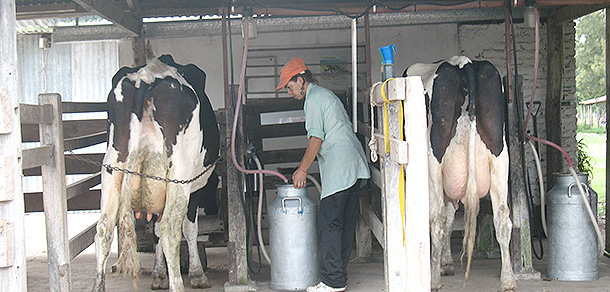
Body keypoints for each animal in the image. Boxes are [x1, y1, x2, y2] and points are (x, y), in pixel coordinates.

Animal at [92, 54, 218, 292]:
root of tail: (147, 76)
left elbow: (156, 231)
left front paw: (159, 274)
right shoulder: (195, 187)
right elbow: (188, 229)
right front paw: (196, 274)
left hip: (111, 167)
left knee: (104, 227)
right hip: (180, 173)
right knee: (170, 229)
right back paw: (178, 284)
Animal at [404, 56, 512, 290]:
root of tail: (465, 64)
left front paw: (440, 265)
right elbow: (453, 216)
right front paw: (446, 263)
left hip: (434, 161)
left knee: (438, 219)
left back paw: (433, 280)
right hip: (500, 157)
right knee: (502, 218)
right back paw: (508, 279)